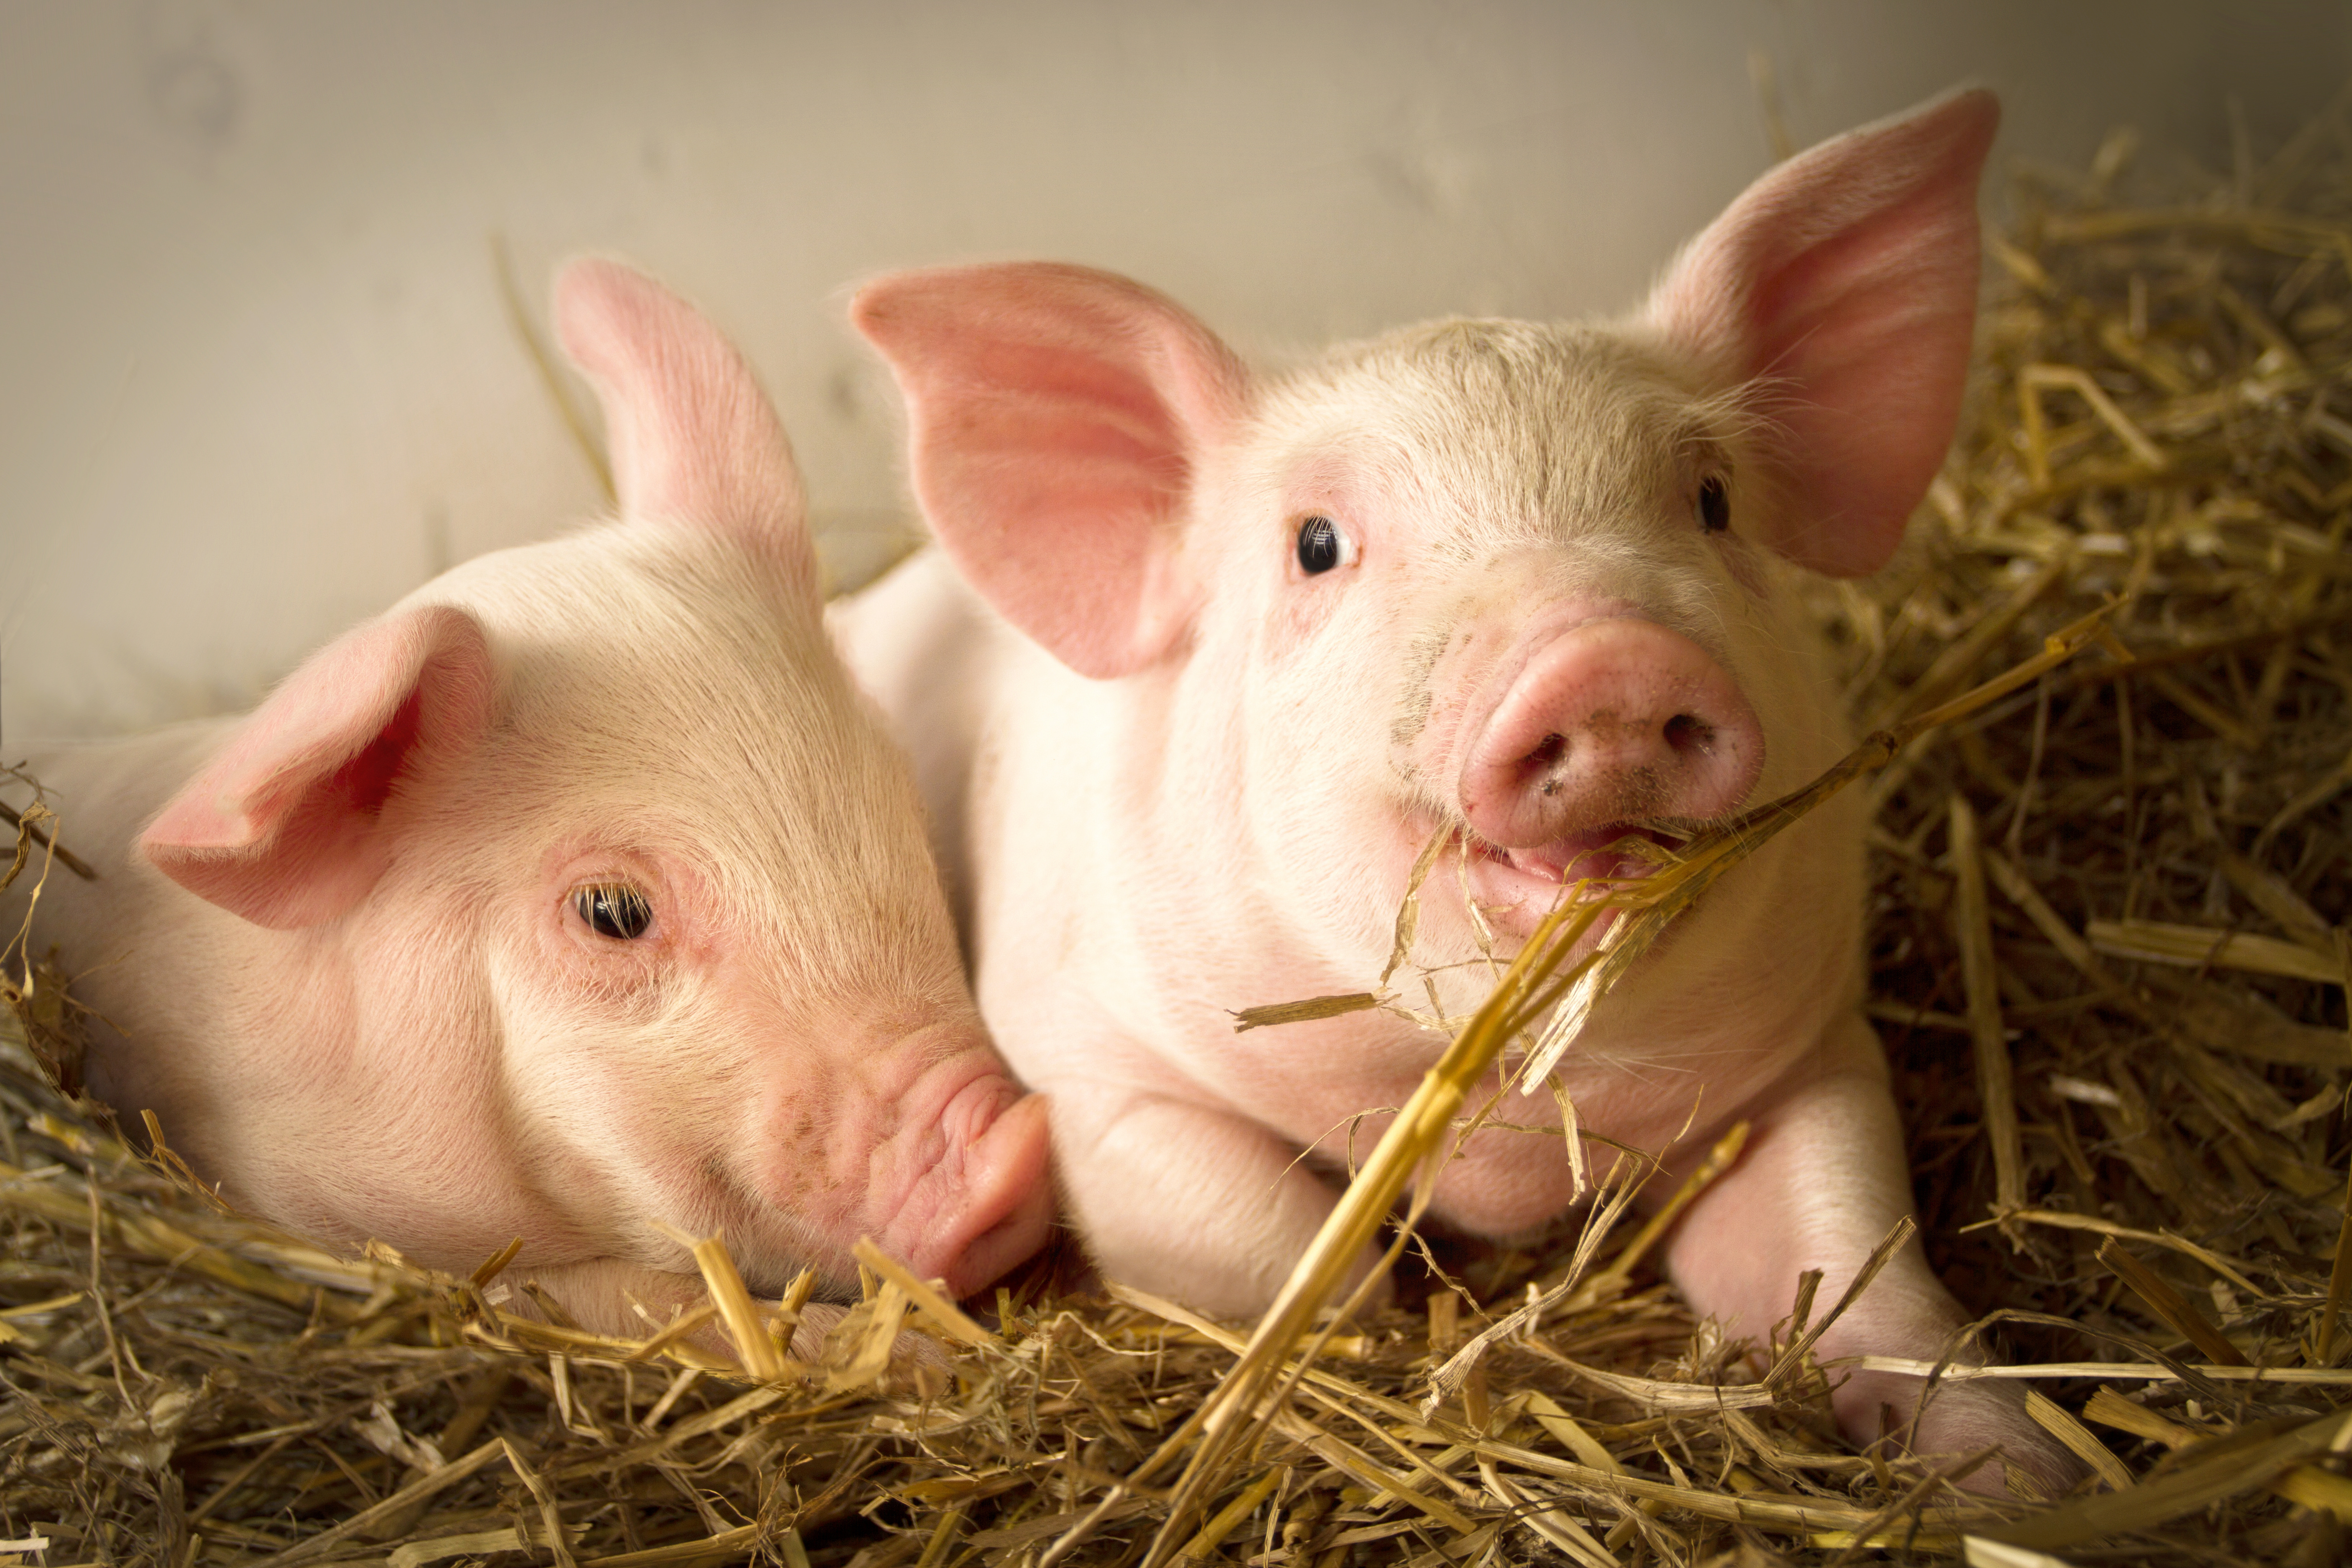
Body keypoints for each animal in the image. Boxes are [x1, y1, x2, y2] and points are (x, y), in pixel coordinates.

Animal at [834, 91, 2078, 1486]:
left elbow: (1852, 1251)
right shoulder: (1092, 1064)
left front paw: (2029, 1480)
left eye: (1710, 500)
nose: (1605, 657)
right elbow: (1270, 1249)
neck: (1492, 1109)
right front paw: (1369, 1349)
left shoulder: (1812, 1050)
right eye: (1316, 544)